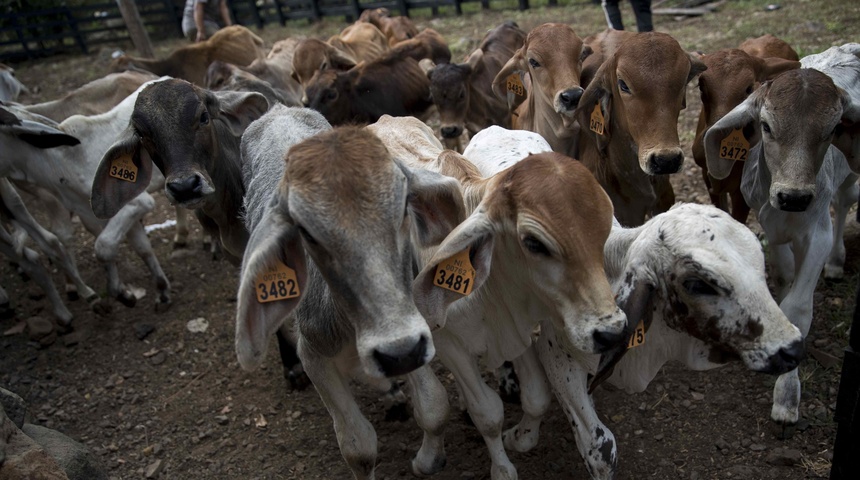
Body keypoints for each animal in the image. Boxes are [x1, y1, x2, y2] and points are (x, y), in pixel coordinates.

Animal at [704, 67, 860, 432]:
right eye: (766, 126)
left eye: (833, 129)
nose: (794, 197)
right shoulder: (769, 225)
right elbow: (784, 273)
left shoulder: (817, 235)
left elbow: (798, 307)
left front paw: (787, 395)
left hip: (849, 180)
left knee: (845, 200)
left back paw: (836, 262)